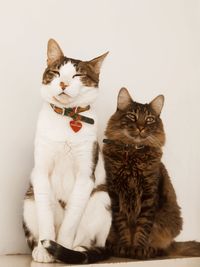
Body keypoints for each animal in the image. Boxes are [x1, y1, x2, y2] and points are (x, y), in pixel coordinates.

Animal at [23, 39, 111, 264]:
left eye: (78, 75)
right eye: (56, 72)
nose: (63, 83)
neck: (68, 117)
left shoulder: (85, 176)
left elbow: (70, 224)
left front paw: (61, 249)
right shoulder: (41, 173)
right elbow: (45, 217)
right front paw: (45, 250)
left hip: (102, 198)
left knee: (90, 240)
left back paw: (78, 250)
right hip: (29, 199)